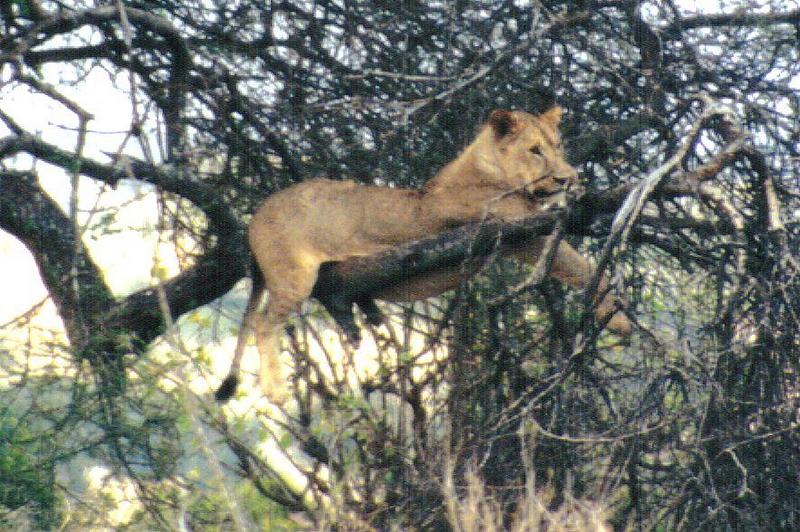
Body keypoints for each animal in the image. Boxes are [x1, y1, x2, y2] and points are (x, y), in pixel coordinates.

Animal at [217, 106, 632, 402]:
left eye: (558, 147)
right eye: (535, 151)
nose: (568, 177)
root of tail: (256, 215)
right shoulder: (514, 231)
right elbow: (577, 263)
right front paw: (618, 318)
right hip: (293, 276)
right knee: (264, 323)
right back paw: (276, 391)